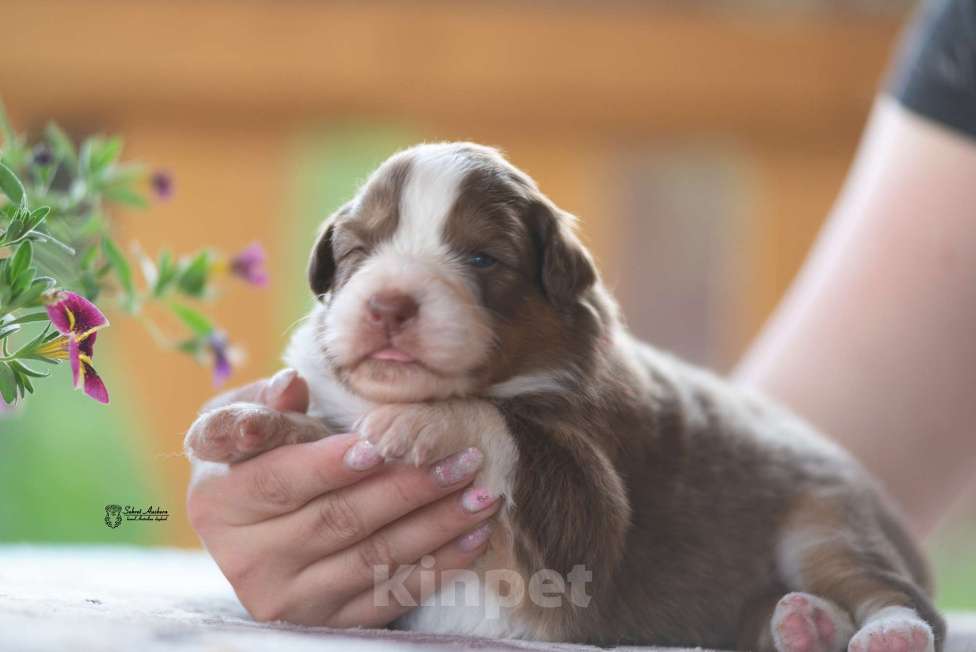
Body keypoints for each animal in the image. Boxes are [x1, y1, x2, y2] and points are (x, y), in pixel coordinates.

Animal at [185, 143, 944, 652]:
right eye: (357, 253)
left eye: (482, 258)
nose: (389, 304)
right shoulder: (343, 420)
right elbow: (327, 430)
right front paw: (241, 422)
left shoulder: (592, 494)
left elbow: (510, 432)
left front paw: (422, 422)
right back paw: (802, 623)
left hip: (826, 519)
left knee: (891, 592)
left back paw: (885, 632)